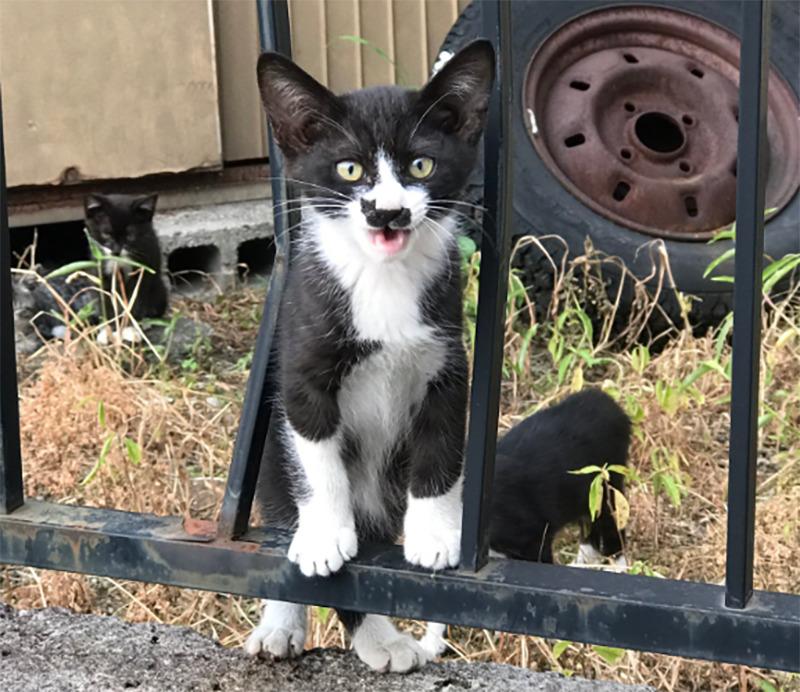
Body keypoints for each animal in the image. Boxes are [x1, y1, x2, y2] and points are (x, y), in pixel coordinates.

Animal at [244, 40, 494, 672]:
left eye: (421, 166)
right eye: (350, 170)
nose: (388, 212)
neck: (382, 279)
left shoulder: (446, 364)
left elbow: (440, 453)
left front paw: (436, 535)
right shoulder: (302, 369)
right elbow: (317, 460)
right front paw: (325, 536)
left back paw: (381, 637)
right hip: (269, 460)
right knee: (282, 507)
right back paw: (295, 625)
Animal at [418, 386, 632, 656]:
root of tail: (603, 399)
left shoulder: (533, 537)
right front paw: (431, 644)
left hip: (605, 490)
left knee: (611, 533)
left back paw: (617, 570)